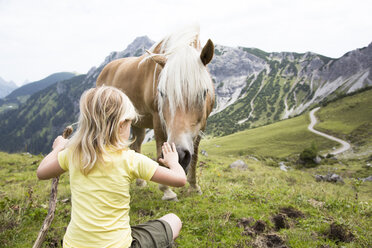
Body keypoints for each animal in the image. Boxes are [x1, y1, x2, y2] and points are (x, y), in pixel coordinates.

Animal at [96, 25, 215, 201]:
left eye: (203, 93)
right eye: (162, 93)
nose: (179, 155)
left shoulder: (201, 126)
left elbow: (194, 157)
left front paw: (194, 186)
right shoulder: (158, 120)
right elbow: (160, 151)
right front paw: (167, 191)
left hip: (137, 124)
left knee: (136, 145)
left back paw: (140, 182)